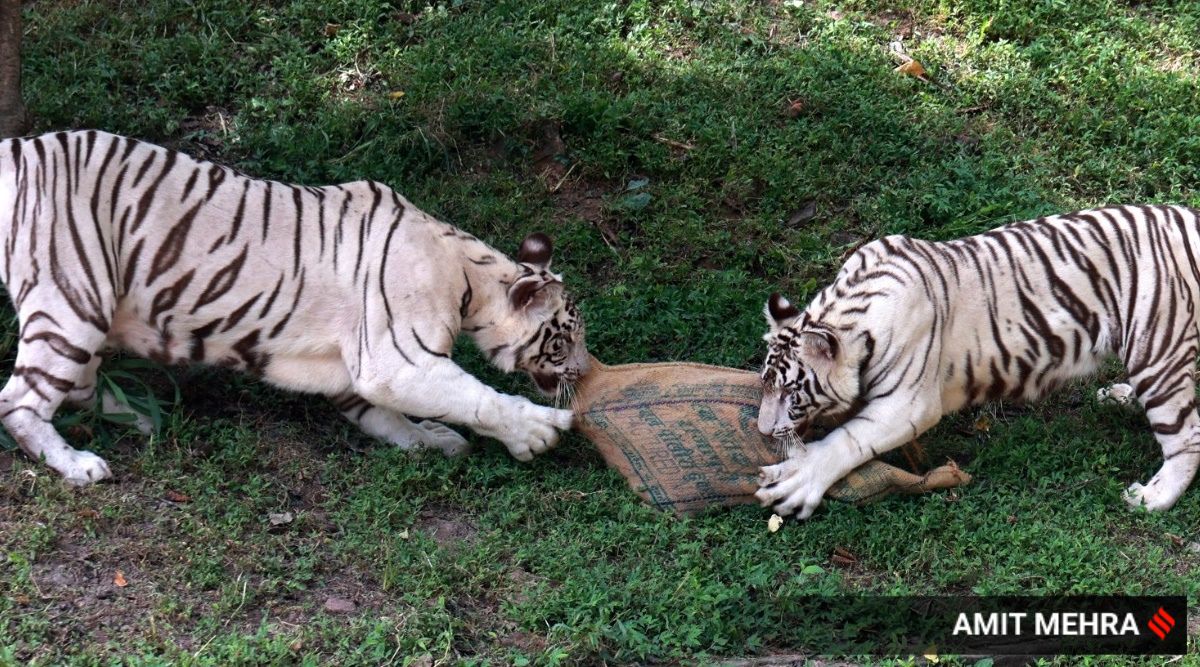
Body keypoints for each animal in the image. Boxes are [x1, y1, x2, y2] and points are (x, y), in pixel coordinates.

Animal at [0, 130, 585, 484]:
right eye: (565, 338)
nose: (581, 373)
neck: (469, 277)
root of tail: (20, 147)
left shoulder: (357, 367)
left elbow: (388, 419)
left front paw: (428, 440)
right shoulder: (395, 361)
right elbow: (473, 396)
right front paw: (536, 432)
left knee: (76, 384)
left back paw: (140, 417)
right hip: (73, 299)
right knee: (19, 400)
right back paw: (77, 464)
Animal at [753, 206, 1200, 518]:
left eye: (791, 392)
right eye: (765, 384)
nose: (761, 431)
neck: (849, 313)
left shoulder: (908, 405)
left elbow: (848, 440)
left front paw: (796, 481)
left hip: (1156, 350)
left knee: (1187, 437)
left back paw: (1153, 497)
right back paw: (1119, 395)